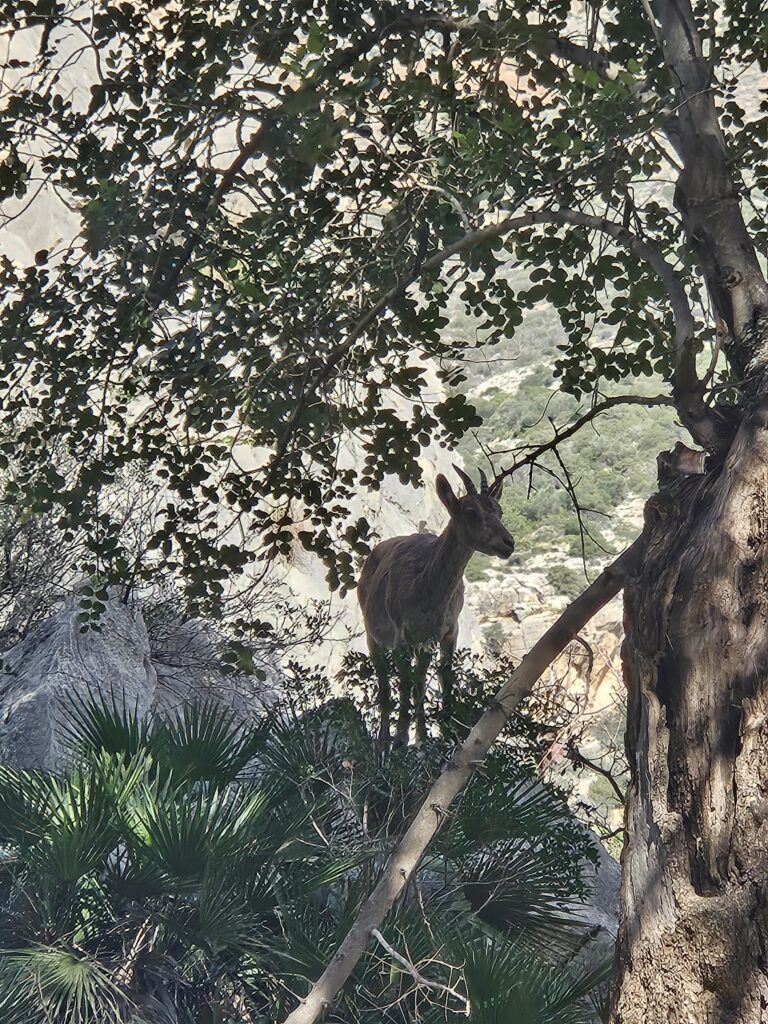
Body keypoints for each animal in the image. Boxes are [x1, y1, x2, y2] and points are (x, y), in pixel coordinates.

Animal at [357, 466, 515, 746]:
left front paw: (442, 736)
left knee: (418, 681)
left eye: (499, 511)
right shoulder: (403, 635)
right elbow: (404, 684)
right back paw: (385, 738)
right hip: (372, 634)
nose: (508, 543)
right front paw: (400, 738)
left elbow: (444, 680)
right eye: (470, 511)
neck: (428, 591)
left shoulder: (446, 632)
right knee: (386, 684)